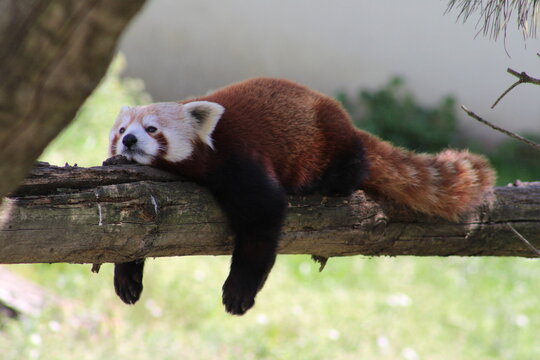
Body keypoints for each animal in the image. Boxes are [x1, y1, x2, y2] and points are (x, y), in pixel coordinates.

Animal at [107, 76, 496, 316]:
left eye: (152, 129)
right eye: (122, 130)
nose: (129, 141)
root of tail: (349, 126)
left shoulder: (239, 159)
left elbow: (263, 221)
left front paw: (239, 291)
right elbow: (136, 232)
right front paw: (127, 277)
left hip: (328, 145)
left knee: (350, 167)